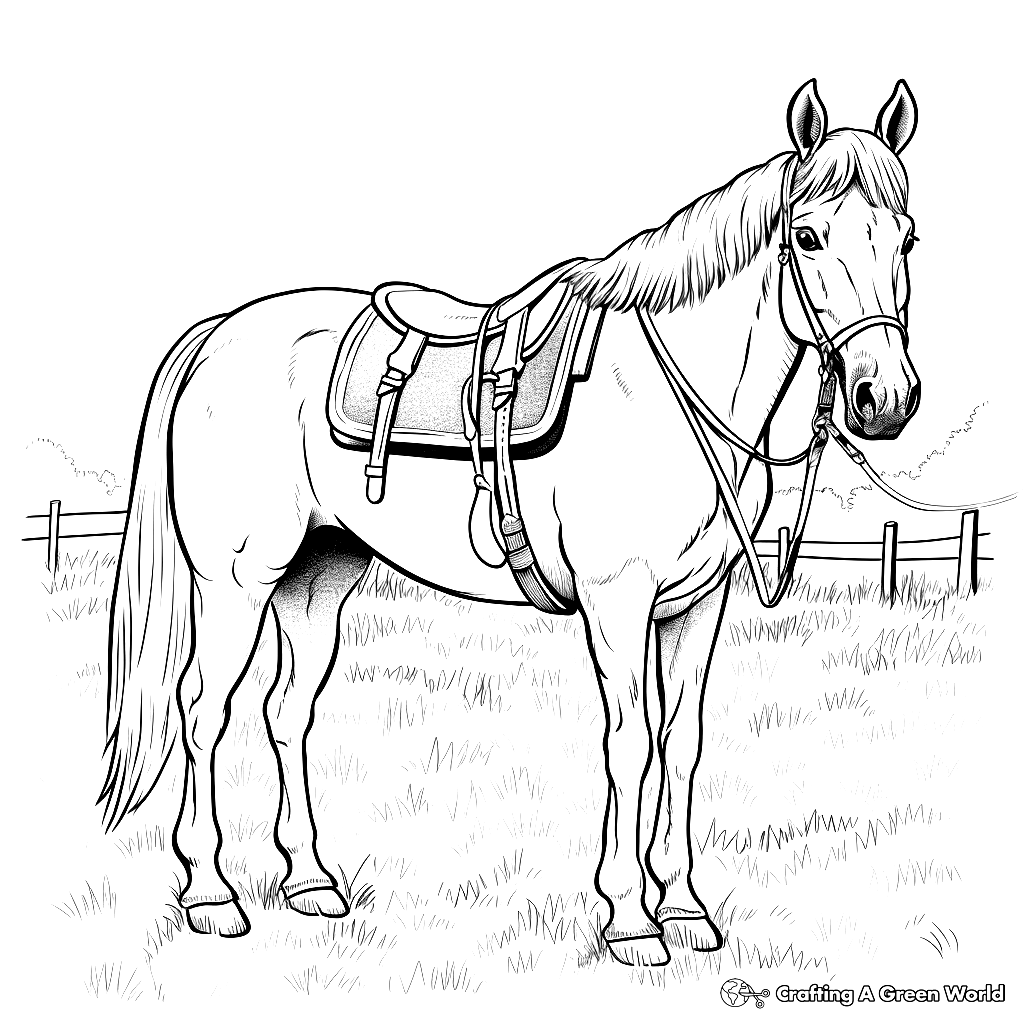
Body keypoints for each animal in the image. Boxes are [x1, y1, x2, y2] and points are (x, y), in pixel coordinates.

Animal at [101, 80, 921, 968]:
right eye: (807, 236)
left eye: (906, 238)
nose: (885, 397)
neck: (669, 396)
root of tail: (220, 334)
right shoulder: (616, 601)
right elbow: (631, 743)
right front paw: (630, 919)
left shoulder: (700, 604)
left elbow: (683, 742)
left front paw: (686, 909)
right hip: (236, 582)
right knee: (201, 709)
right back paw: (210, 894)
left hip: (316, 581)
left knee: (285, 713)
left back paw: (311, 883)